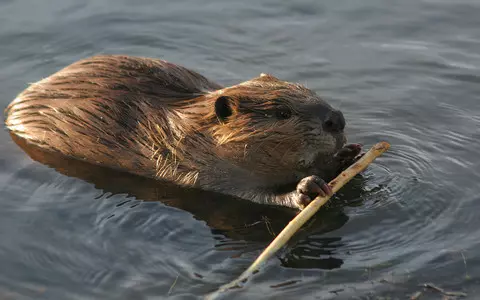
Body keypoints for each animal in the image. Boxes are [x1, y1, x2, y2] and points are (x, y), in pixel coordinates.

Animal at [5, 55, 362, 209]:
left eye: (309, 90)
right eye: (283, 112)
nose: (336, 119)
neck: (192, 128)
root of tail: (12, 107)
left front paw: (348, 154)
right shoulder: (198, 169)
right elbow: (250, 195)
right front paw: (306, 189)